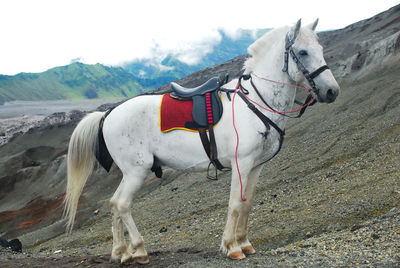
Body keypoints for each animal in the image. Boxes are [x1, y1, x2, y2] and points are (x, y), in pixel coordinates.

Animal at [64, 19, 340, 264]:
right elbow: (235, 204)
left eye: (320, 49)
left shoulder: (256, 166)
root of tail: (108, 114)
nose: (332, 91)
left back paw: (121, 252)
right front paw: (231, 247)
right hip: (137, 171)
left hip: (131, 172)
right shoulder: (241, 163)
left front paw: (245, 243)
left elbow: (248, 203)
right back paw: (139, 250)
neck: (255, 102)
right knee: (122, 204)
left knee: (113, 203)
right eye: (303, 52)